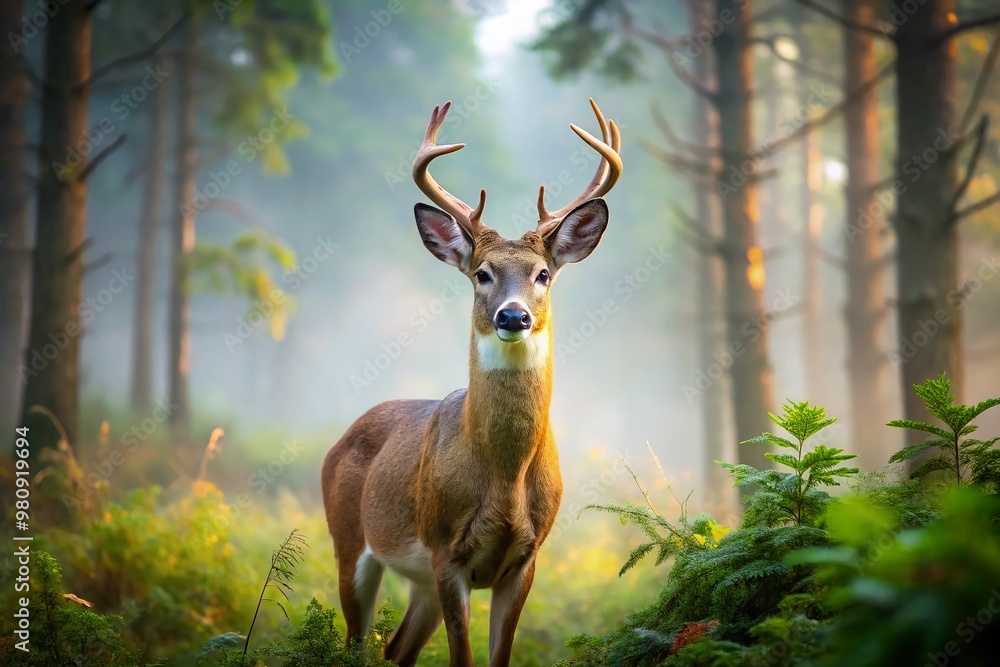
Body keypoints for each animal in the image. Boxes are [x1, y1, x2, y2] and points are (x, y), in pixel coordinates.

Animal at [321, 99, 622, 667]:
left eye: (543, 273)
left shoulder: (527, 557)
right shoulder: (446, 551)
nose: (513, 316)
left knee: (395, 650)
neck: (503, 476)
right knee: (355, 642)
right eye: (482, 273)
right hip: (350, 541)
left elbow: (499, 655)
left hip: (418, 583)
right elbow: (462, 657)